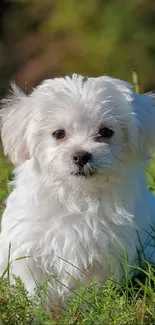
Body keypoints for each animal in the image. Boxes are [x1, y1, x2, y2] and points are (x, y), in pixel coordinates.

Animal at [0, 74, 155, 302]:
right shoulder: (29, 249)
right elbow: (33, 289)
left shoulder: (107, 255)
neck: (78, 196)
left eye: (106, 132)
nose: (81, 155)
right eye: (58, 133)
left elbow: (93, 291)